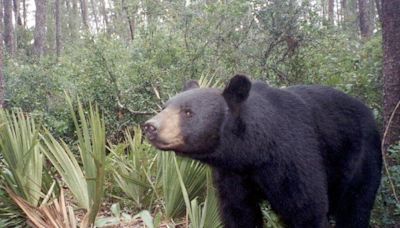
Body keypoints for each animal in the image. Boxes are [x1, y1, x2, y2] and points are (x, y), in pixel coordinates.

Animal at [143, 75, 382, 228]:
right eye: (165, 107)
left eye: (188, 112)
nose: (150, 126)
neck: (253, 153)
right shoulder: (232, 174)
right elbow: (239, 212)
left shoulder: (295, 157)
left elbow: (307, 209)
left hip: (361, 158)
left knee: (355, 207)